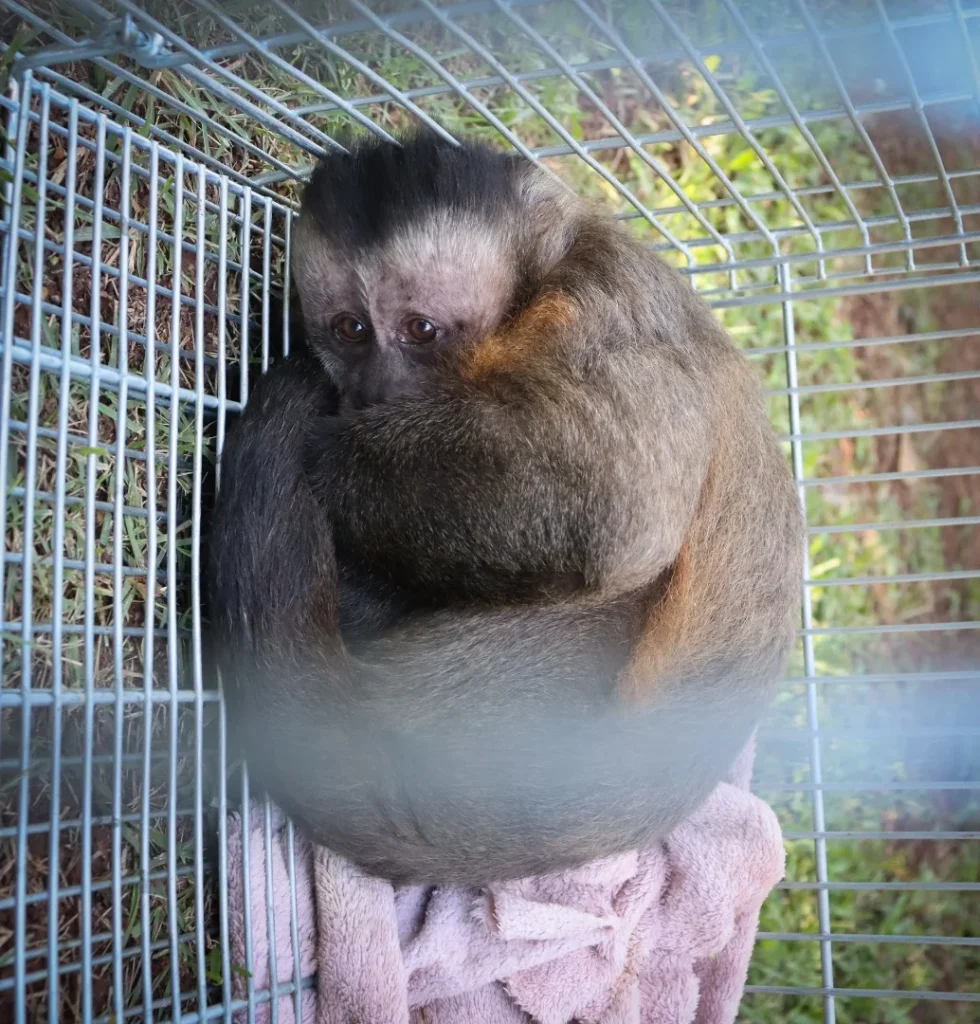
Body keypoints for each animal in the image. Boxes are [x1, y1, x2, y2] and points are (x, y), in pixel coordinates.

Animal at [206, 132, 804, 885]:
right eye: (350, 329)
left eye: (420, 330)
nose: (373, 393)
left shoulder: (601, 302)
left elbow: (622, 507)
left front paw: (325, 450)